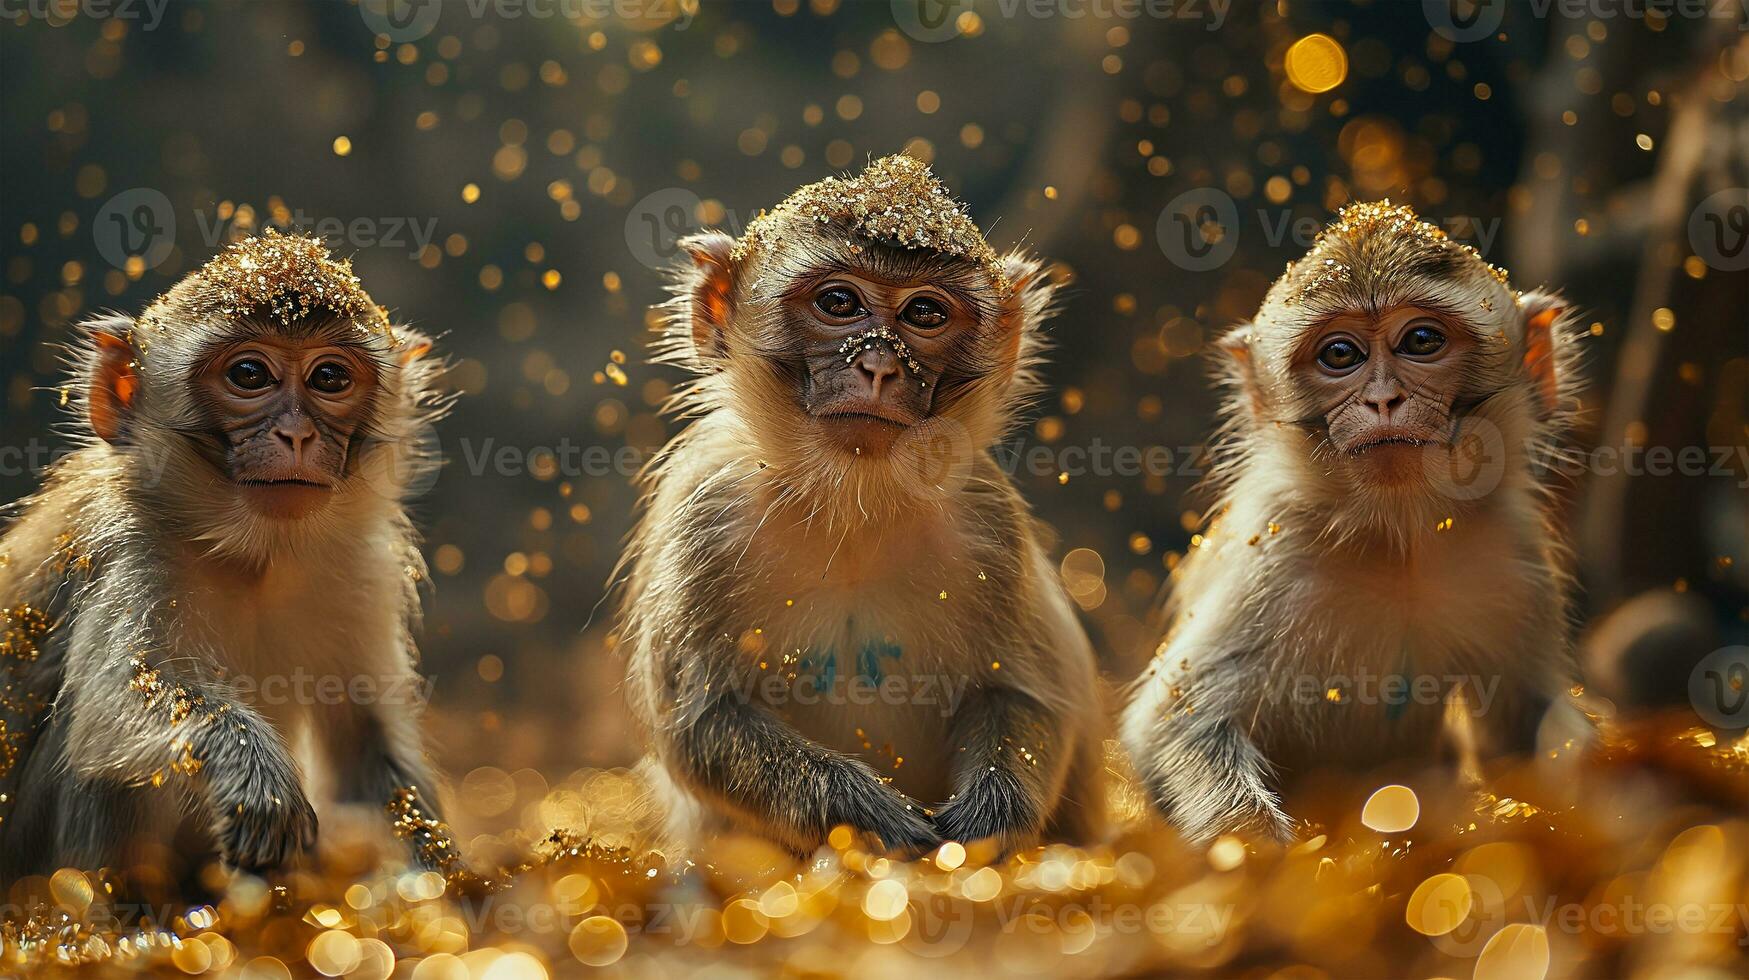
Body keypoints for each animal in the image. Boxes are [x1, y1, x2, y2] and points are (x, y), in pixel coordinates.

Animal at [0, 231, 458, 889]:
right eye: (249, 374)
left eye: (329, 378)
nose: (297, 435)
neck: (255, 561)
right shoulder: (129, 545)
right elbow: (111, 704)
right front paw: (255, 773)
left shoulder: (359, 568)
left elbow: (367, 745)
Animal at [622, 154, 1098, 857]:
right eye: (839, 303)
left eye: (924, 313)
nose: (877, 366)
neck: (851, 503)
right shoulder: (703, 512)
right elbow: (699, 726)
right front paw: (869, 817)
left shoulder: (990, 521)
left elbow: (1021, 694)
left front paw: (987, 818)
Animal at [1126, 201, 1595, 843]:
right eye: (1340, 355)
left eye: (1421, 340)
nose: (1382, 401)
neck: (1400, 540)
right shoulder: (1271, 551)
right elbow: (1174, 722)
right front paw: (1263, 857)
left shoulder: (1514, 553)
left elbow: (1525, 722)